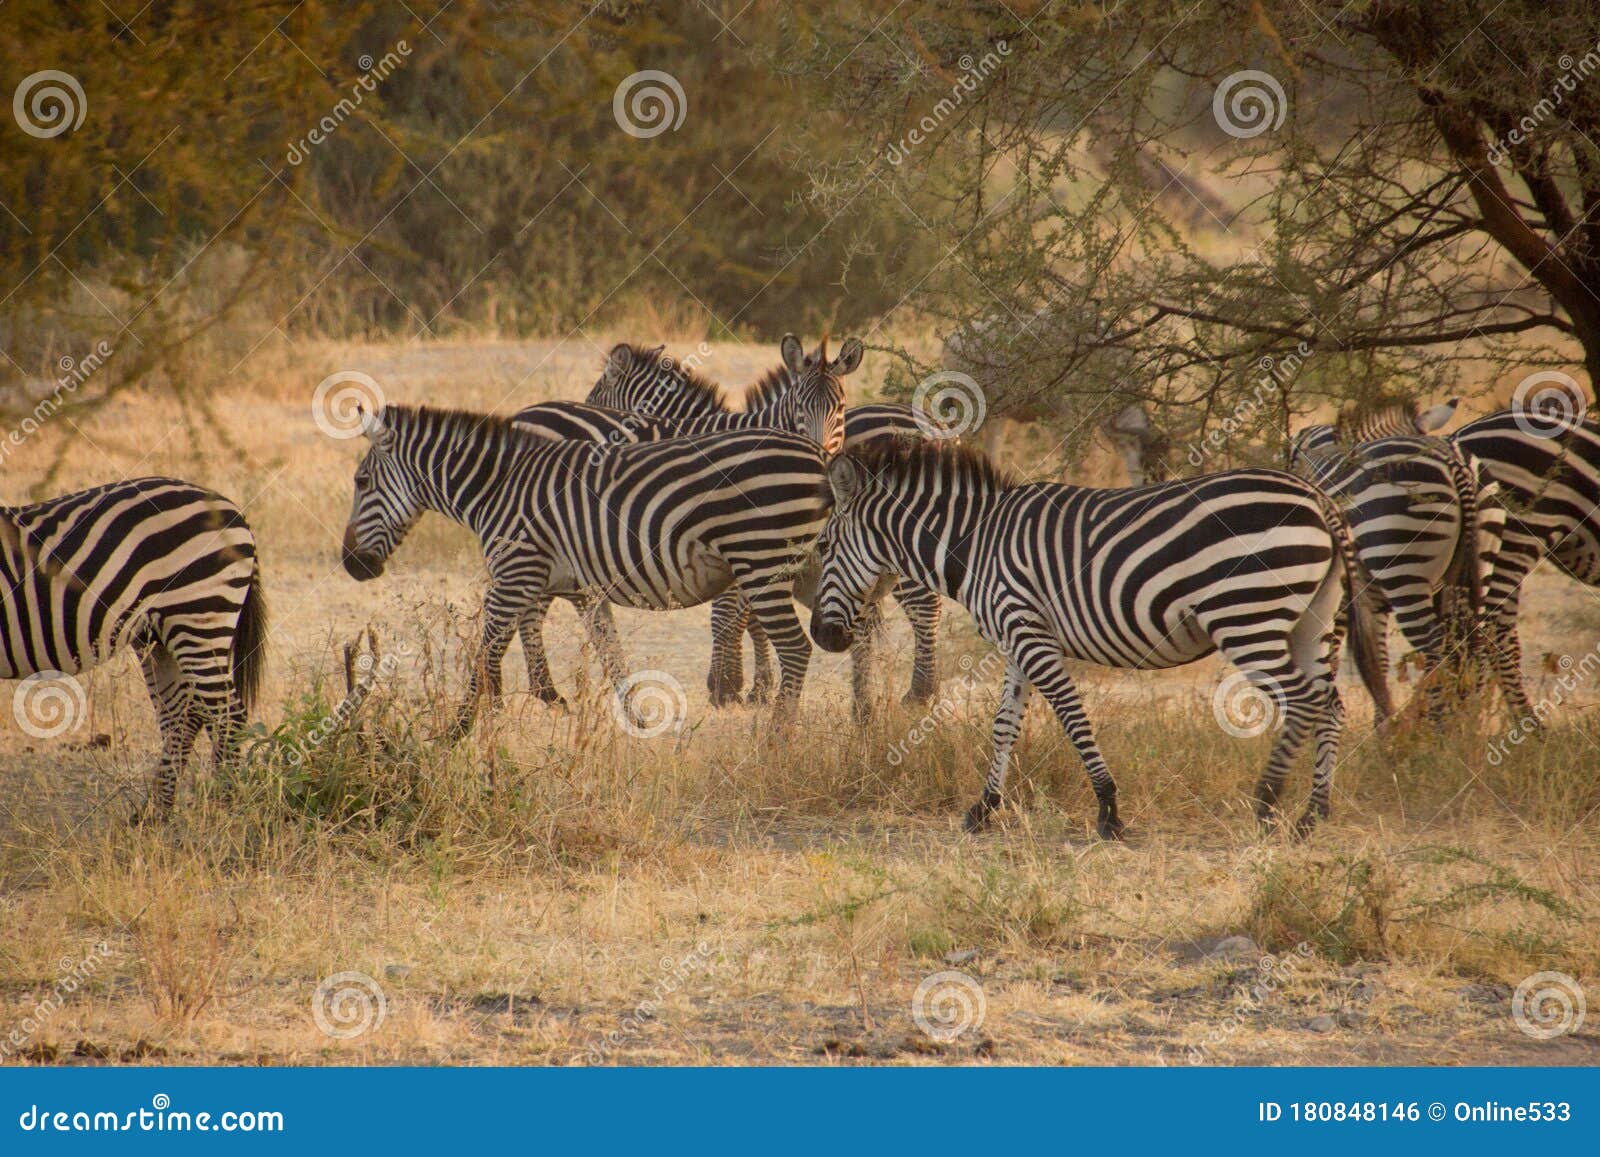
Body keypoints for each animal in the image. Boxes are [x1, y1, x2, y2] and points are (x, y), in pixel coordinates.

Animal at [1, 476, 267, 816]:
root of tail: (233, 509)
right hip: (159, 636)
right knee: (181, 716)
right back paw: (155, 814)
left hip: (197, 616)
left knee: (226, 716)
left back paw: (222, 808)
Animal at [342, 404, 832, 732]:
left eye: (361, 482)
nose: (351, 566)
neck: (497, 488)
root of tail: (819, 455)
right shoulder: (581, 589)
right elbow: (610, 652)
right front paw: (637, 719)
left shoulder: (514, 573)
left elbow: (486, 651)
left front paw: (457, 732)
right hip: (811, 568)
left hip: (763, 562)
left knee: (796, 649)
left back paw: (777, 737)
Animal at [585, 339, 934, 710]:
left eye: (595, 397)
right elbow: (750, 615)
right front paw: (756, 686)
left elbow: (728, 614)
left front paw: (726, 685)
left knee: (924, 606)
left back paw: (920, 693)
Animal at [806, 438, 1382, 838]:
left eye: (824, 545)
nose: (822, 636)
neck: (975, 544)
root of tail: (1318, 498)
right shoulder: (1019, 638)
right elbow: (1003, 726)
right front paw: (983, 809)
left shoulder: (1030, 634)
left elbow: (1071, 716)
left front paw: (1108, 809)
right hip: (1310, 622)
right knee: (1330, 703)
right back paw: (1313, 814)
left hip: (1247, 615)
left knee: (1304, 700)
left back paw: (1266, 804)